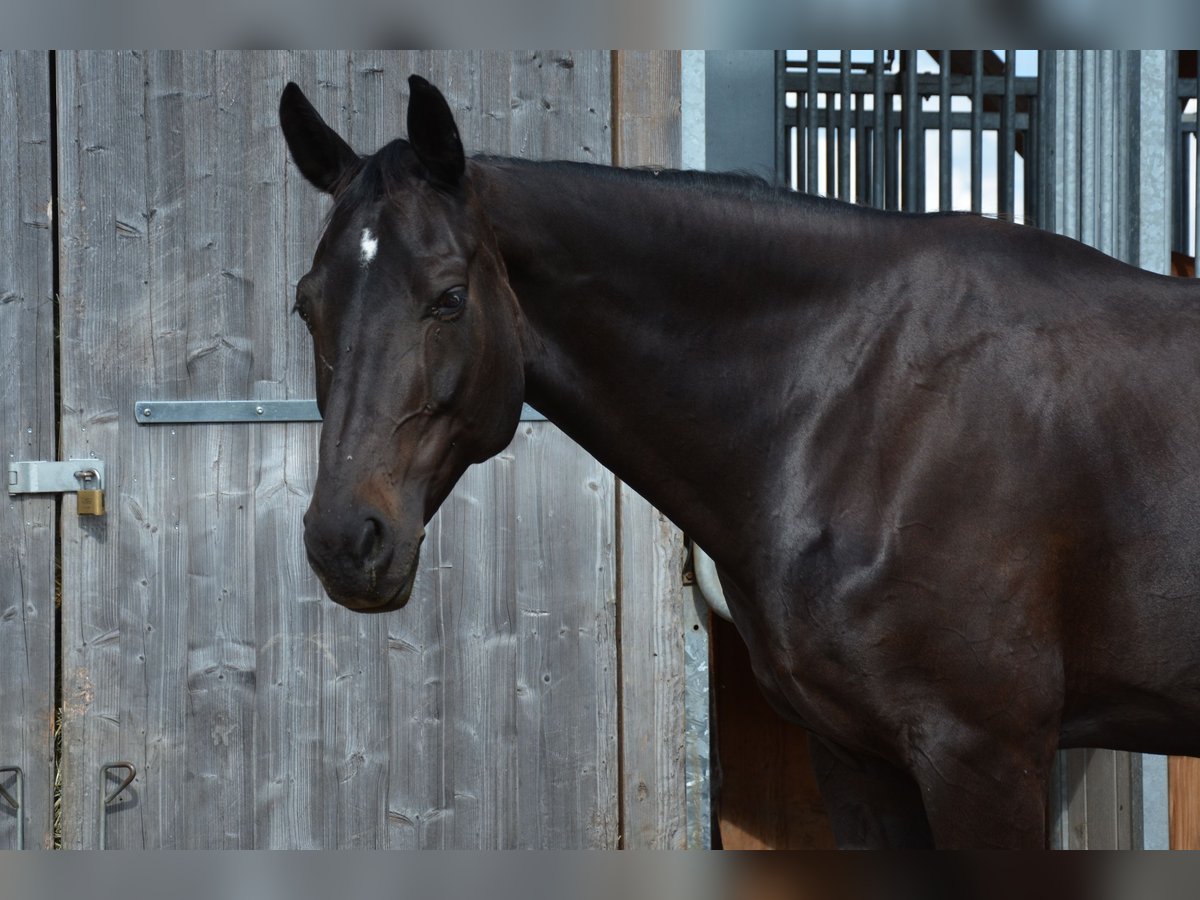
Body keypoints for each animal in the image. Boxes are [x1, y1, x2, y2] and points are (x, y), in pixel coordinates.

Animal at [276, 77, 1200, 854]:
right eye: (305, 303)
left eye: (448, 298)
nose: (343, 541)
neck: (866, 407)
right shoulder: (858, 760)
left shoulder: (985, 757)